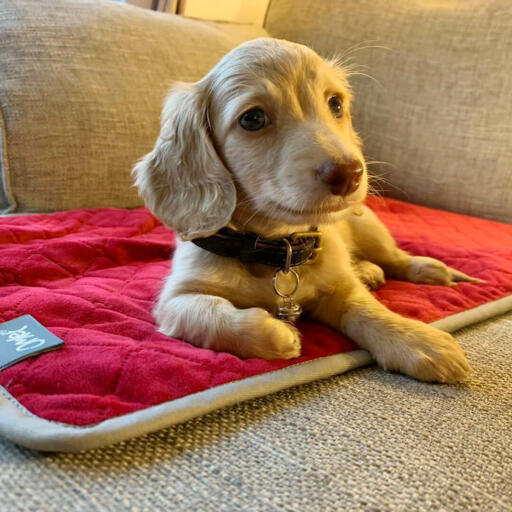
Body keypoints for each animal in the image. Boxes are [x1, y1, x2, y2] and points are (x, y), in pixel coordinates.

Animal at [133, 38, 476, 382]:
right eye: (252, 119)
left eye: (335, 104)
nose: (351, 173)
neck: (276, 248)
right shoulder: (176, 299)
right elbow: (210, 314)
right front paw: (277, 335)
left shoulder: (343, 290)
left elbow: (369, 310)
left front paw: (418, 340)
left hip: (370, 229)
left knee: (394, 257)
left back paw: (422, 268)